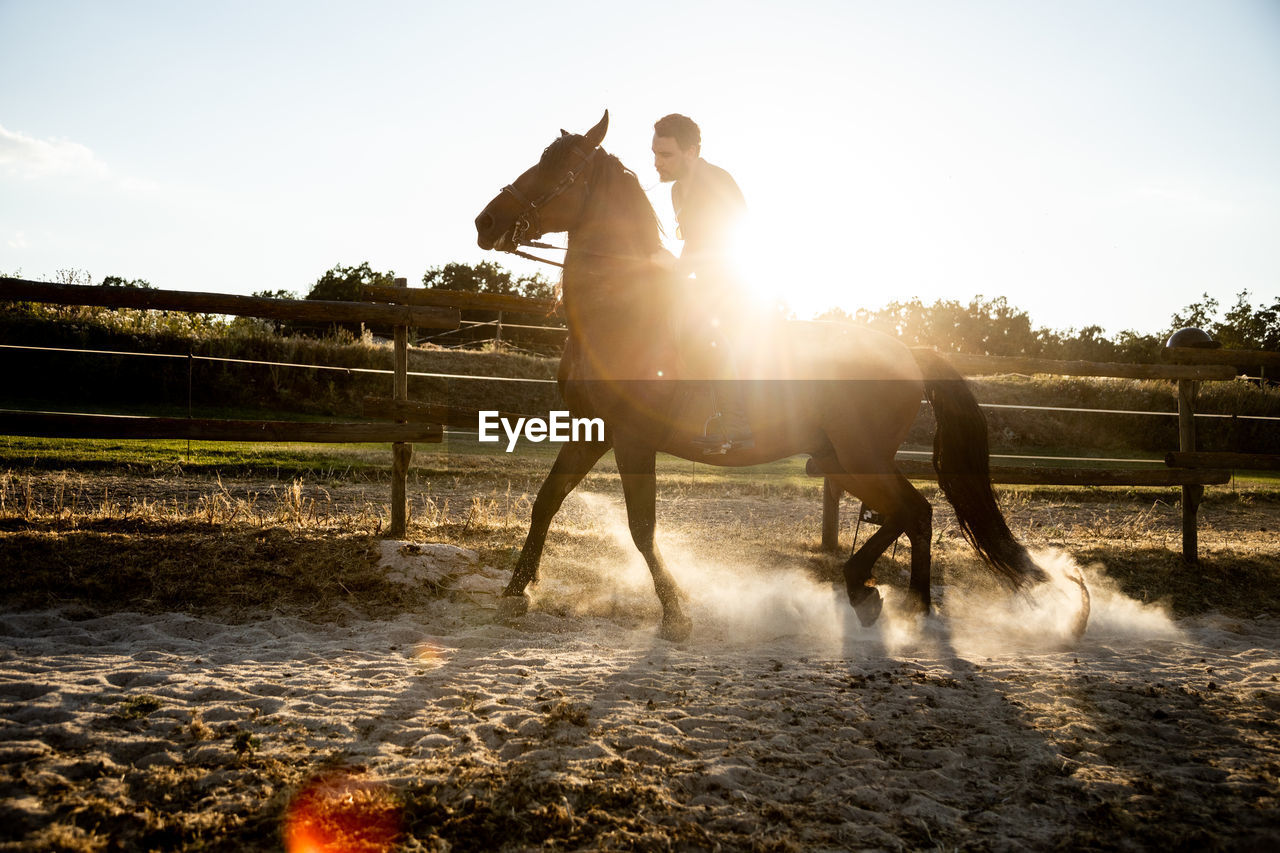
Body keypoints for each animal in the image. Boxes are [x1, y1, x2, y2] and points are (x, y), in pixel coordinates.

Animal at [476, 109, 1075, 637]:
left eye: (559, 168)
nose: (486, 222)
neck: (621, 314)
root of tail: (907, 350)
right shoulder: (591, 431)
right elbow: (547, 501)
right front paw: (516, 590)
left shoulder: (632, 438)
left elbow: (641, 528)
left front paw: (676, 612)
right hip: (840, 460)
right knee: (910, 512)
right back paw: (868, 589)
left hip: (858, 456)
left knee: (916, 511)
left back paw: (911, 606)